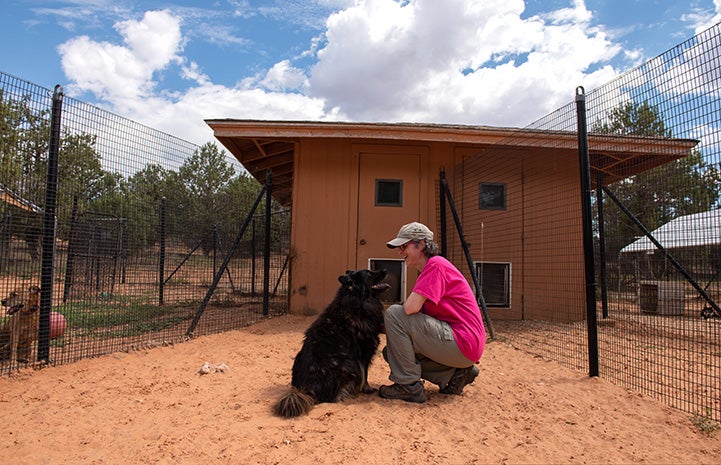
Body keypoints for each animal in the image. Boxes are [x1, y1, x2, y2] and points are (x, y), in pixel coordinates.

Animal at [274, 268, 388, 416]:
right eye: (369, 273)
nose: (385, 269)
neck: (357, 301)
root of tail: (305, 390)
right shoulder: (364, 352)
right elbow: (366, 374)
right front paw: (367, 389)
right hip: (348, 363)